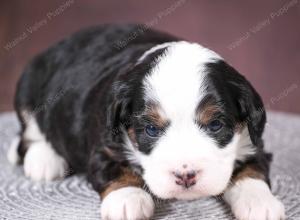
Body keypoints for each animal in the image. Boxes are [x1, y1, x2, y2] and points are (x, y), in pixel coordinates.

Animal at [6, 23, 284, 219]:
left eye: (215, 125)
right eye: (151, 129)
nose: (186, 176)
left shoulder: (252, 141)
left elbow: (253, 170)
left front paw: (260, 202)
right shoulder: (104, 144)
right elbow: (116, 168)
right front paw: (127, 199)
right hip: (28, 86)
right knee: (30, 132)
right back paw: (44, 161)